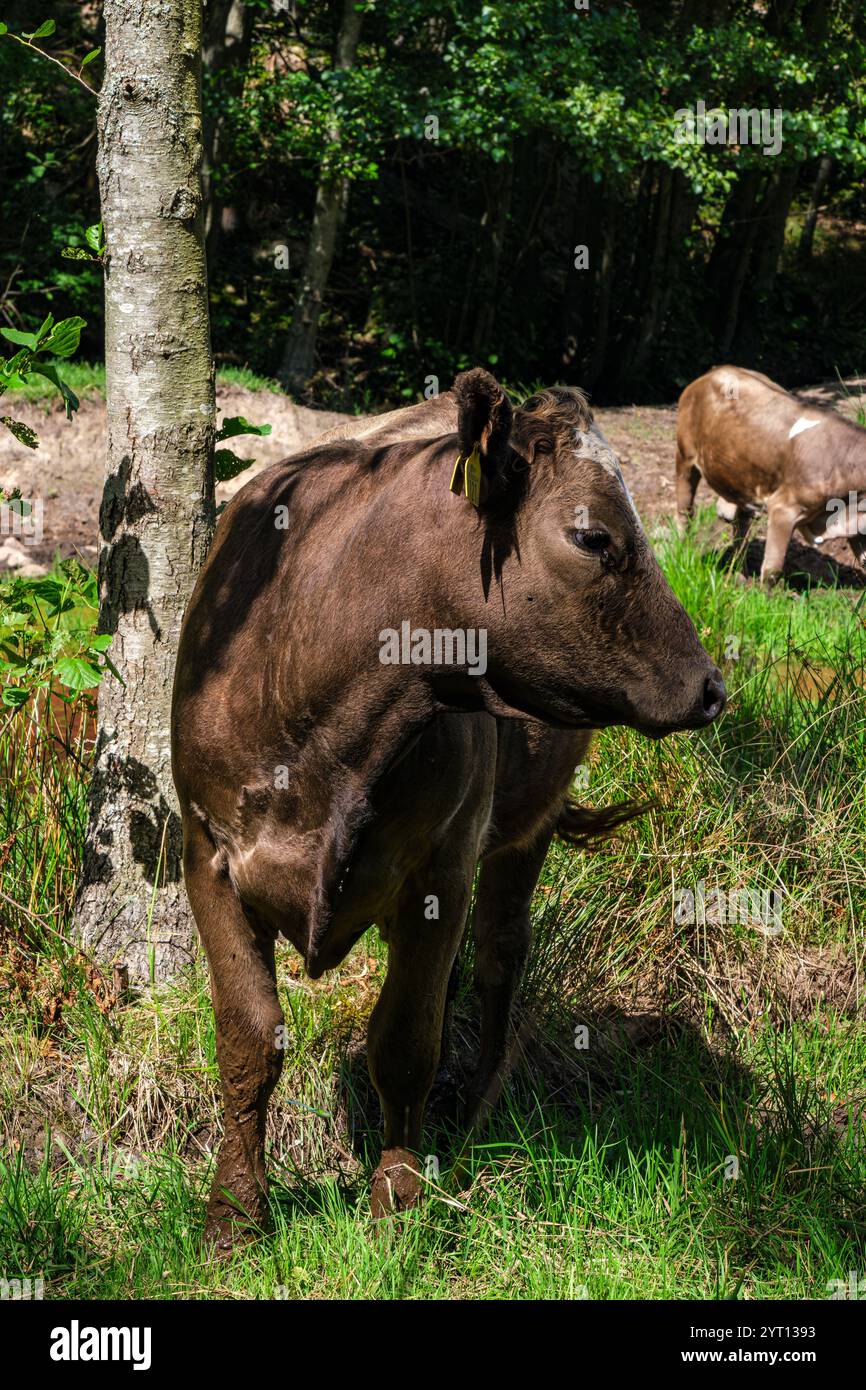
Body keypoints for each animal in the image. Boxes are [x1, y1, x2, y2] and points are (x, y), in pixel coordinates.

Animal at [171, 369, 726, 1250]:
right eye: (594, 537)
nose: (711, 685)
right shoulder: (207, 853)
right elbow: (250, 1039)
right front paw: (235, 1212)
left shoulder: (443, 866)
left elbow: (404, 1041)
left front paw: (398, 1201)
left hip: (525, 829)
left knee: (500, 958)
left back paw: (471, 1117)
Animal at [675, 365, 866, 584]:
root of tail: (715, 370)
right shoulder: (784, 508)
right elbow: (772, 569)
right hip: (685, 456)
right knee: (685, 509)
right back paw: (684, 550)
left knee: (740, 526)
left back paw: (740, 573)